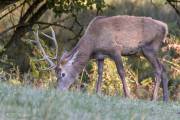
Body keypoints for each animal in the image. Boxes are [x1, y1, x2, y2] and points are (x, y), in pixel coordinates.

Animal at [33, 14, 169, 101]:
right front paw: (97, 93)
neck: (93, 42)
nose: (58, 91)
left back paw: (153, 98)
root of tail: (165, 27)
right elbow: (100, 72)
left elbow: (121, 72)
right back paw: (165, 99)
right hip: (150, 51)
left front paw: (128, 96)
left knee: (158, 69)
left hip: (149, 48)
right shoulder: (100, 56)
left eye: (63, 74)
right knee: (164, 68)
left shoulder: (115, 49)